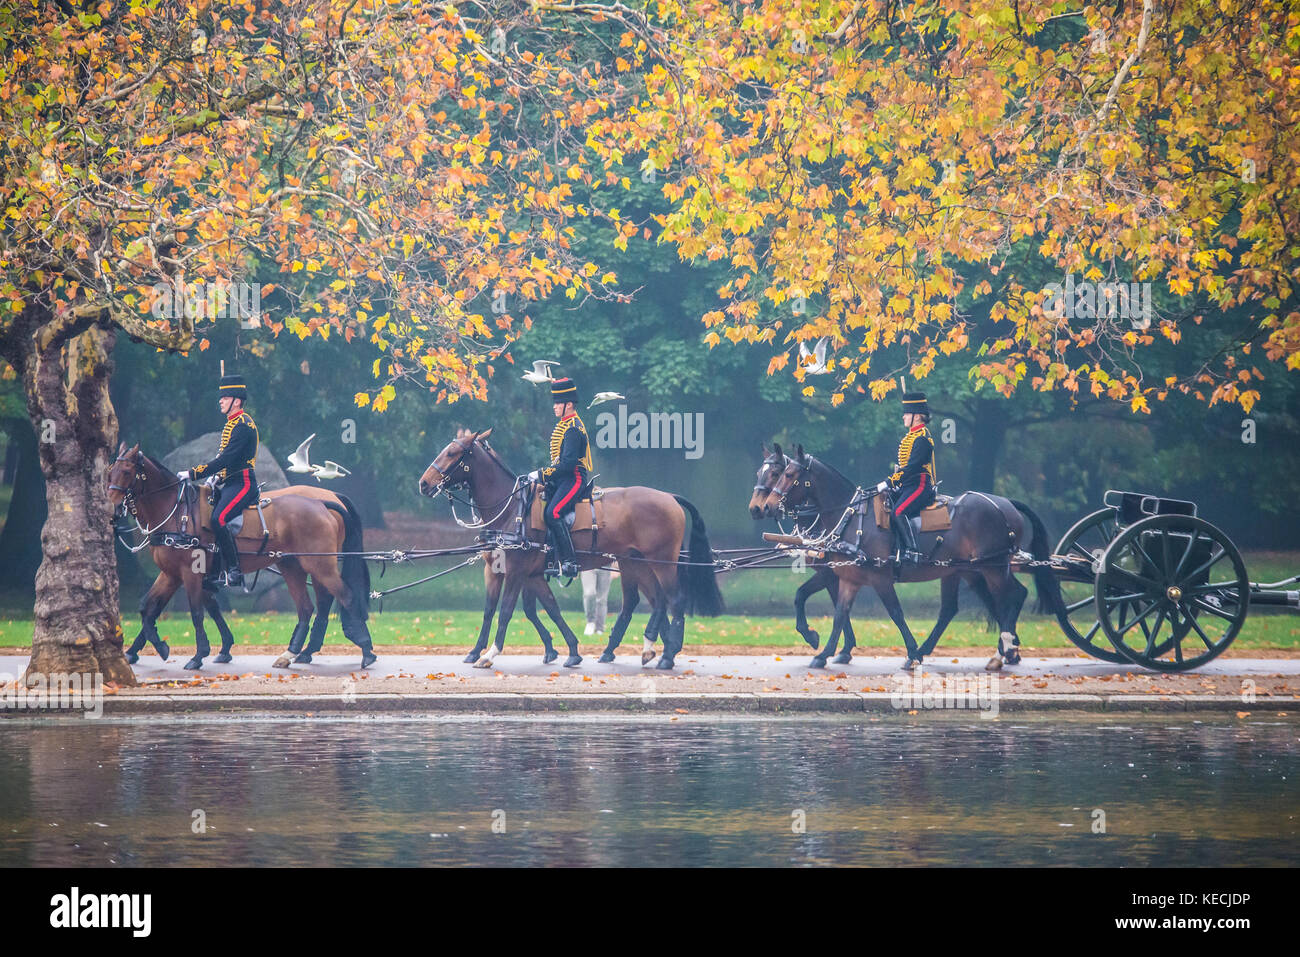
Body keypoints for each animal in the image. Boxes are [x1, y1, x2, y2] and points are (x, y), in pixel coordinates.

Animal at [106, 444, 377, 670]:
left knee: (344, 597)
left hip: (321, 565)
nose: (112, 509)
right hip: (293, 566)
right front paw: (151, 648)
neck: (176, 512)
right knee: (309, 606)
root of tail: (323, 502)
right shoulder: (172, 574)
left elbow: (196, 612)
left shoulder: (190, 573)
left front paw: (198, 654)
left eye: (127, 471)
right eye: (110, 472)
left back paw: (365, 651)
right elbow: (149, 608)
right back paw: (295, 652)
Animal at [418, 429, 728, 670]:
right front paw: (570, 650)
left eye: (452, 453)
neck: (510, 508)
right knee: (651, 600)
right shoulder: (507, 572)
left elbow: (506, 610)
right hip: (635, 562)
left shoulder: (517, 571)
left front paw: (491, 654)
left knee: (673, 599)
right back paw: (643, 647)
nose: (424, 483)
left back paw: (666, 654)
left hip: (661, 562)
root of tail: (669, 497)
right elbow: (522, 609)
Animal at [759, 444, 1060, 670]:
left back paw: (1004, 650)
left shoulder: (878, 578)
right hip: (966, 570)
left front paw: (910, 653)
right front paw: (824, 652)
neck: (851, 517)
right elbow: (837, 612)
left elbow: (895, 613)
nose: (766, 507)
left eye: (788, 473)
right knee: (960, 608)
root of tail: (1005, 503)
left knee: (1014, 596)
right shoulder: (848, 578)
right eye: (779, 473)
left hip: (993, 567)